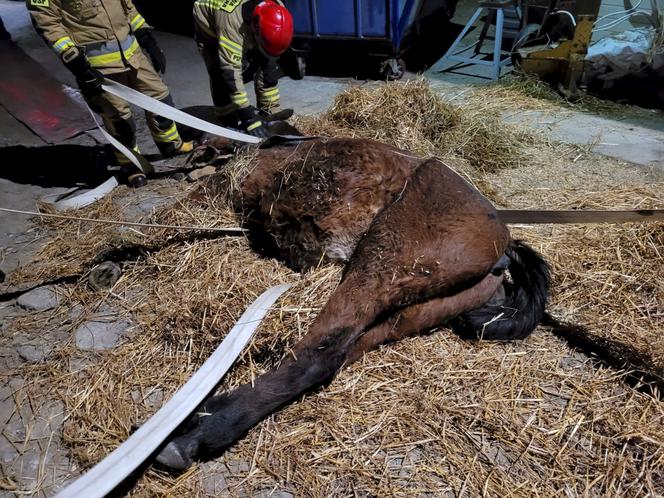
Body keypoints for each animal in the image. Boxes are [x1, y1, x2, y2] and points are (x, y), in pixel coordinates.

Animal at [156, 136, 548, 470]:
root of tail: (504, 243)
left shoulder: (220, 189)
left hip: (384, 260)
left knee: (319, 354)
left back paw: (199, 431)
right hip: (417, 307)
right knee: (344, 348)